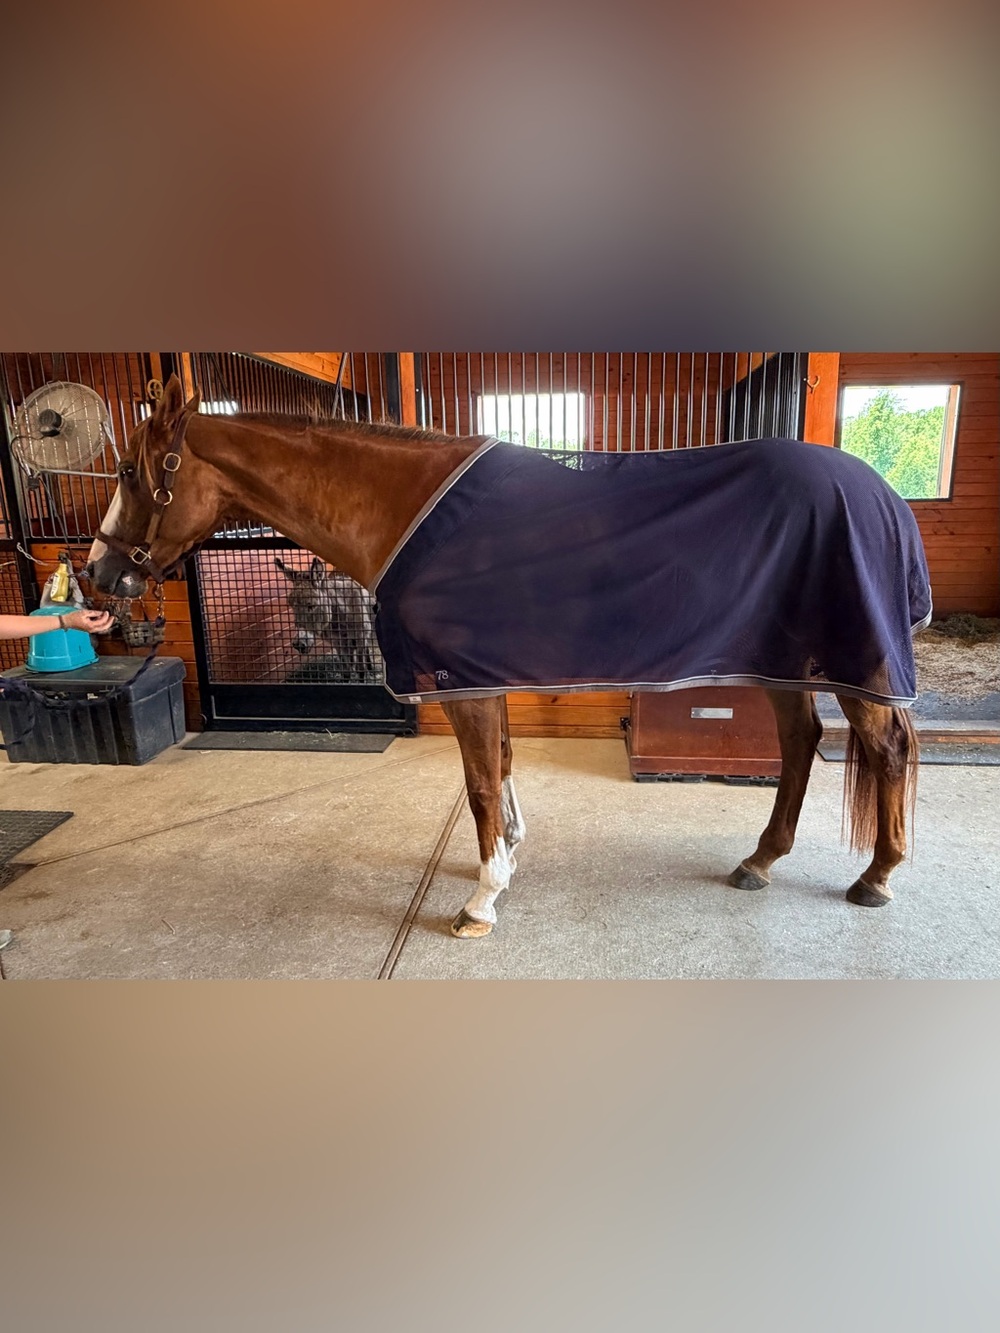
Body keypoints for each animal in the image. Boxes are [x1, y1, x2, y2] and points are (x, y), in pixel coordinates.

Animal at [85, 374, 922, 939]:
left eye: (129, 472)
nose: (97, 572)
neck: (405, 511)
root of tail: (881, 493)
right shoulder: (484, 676)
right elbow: (506, 767)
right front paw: (510, 859)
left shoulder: (463, 683)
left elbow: (482, 784)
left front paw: (482, 898)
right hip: (783, 659)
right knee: (801, 741)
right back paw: (760, 860)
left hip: (856, 664)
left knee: (883, 748)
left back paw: (877, 876)